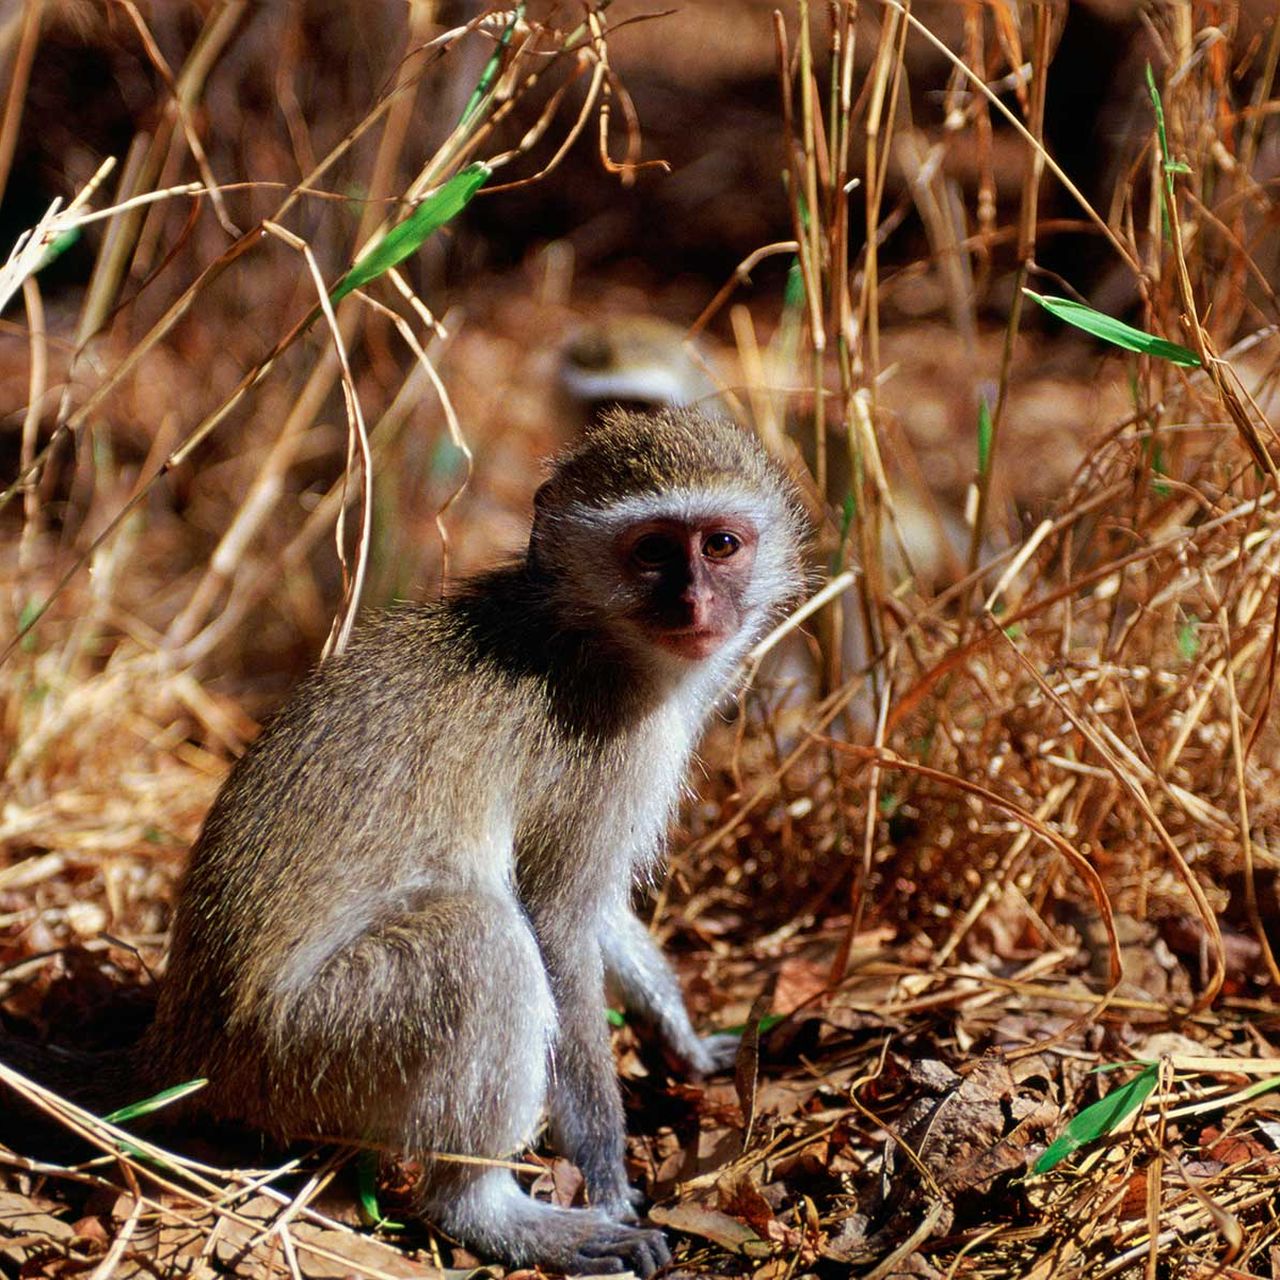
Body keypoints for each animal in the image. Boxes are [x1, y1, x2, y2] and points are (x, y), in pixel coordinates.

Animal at [122, 407, 808, 1276]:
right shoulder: (611, 749)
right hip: (304, 1052)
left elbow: (590, 913)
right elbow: (558, 924)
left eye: (719, 545)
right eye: (653, 551)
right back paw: (489, 1212)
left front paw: (682, 1040)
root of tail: (183, 1054)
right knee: (481, 943)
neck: (589, 632)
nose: (694, 604)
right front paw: (607, 1175)